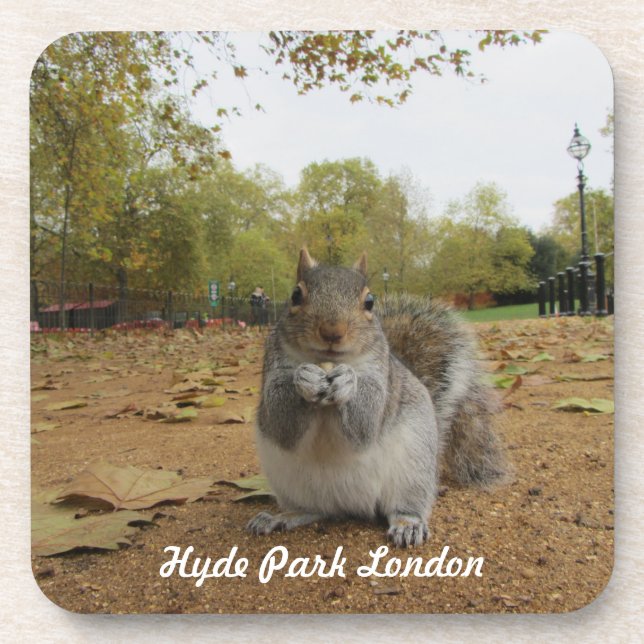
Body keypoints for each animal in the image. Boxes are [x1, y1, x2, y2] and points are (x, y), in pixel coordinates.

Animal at [247, 248, 508, 547]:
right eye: (295, 295)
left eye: (370, 302)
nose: (332, 331)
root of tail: (349, 505)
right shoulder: (272, 368)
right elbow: (281, 423)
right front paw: (305, 377)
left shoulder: (380, 379)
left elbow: (366, 422)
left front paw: (348, 380)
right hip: (289, 482)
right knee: (313, 510)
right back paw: (280, 517)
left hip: (413, 470)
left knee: (404, 505)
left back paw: (408, 524)